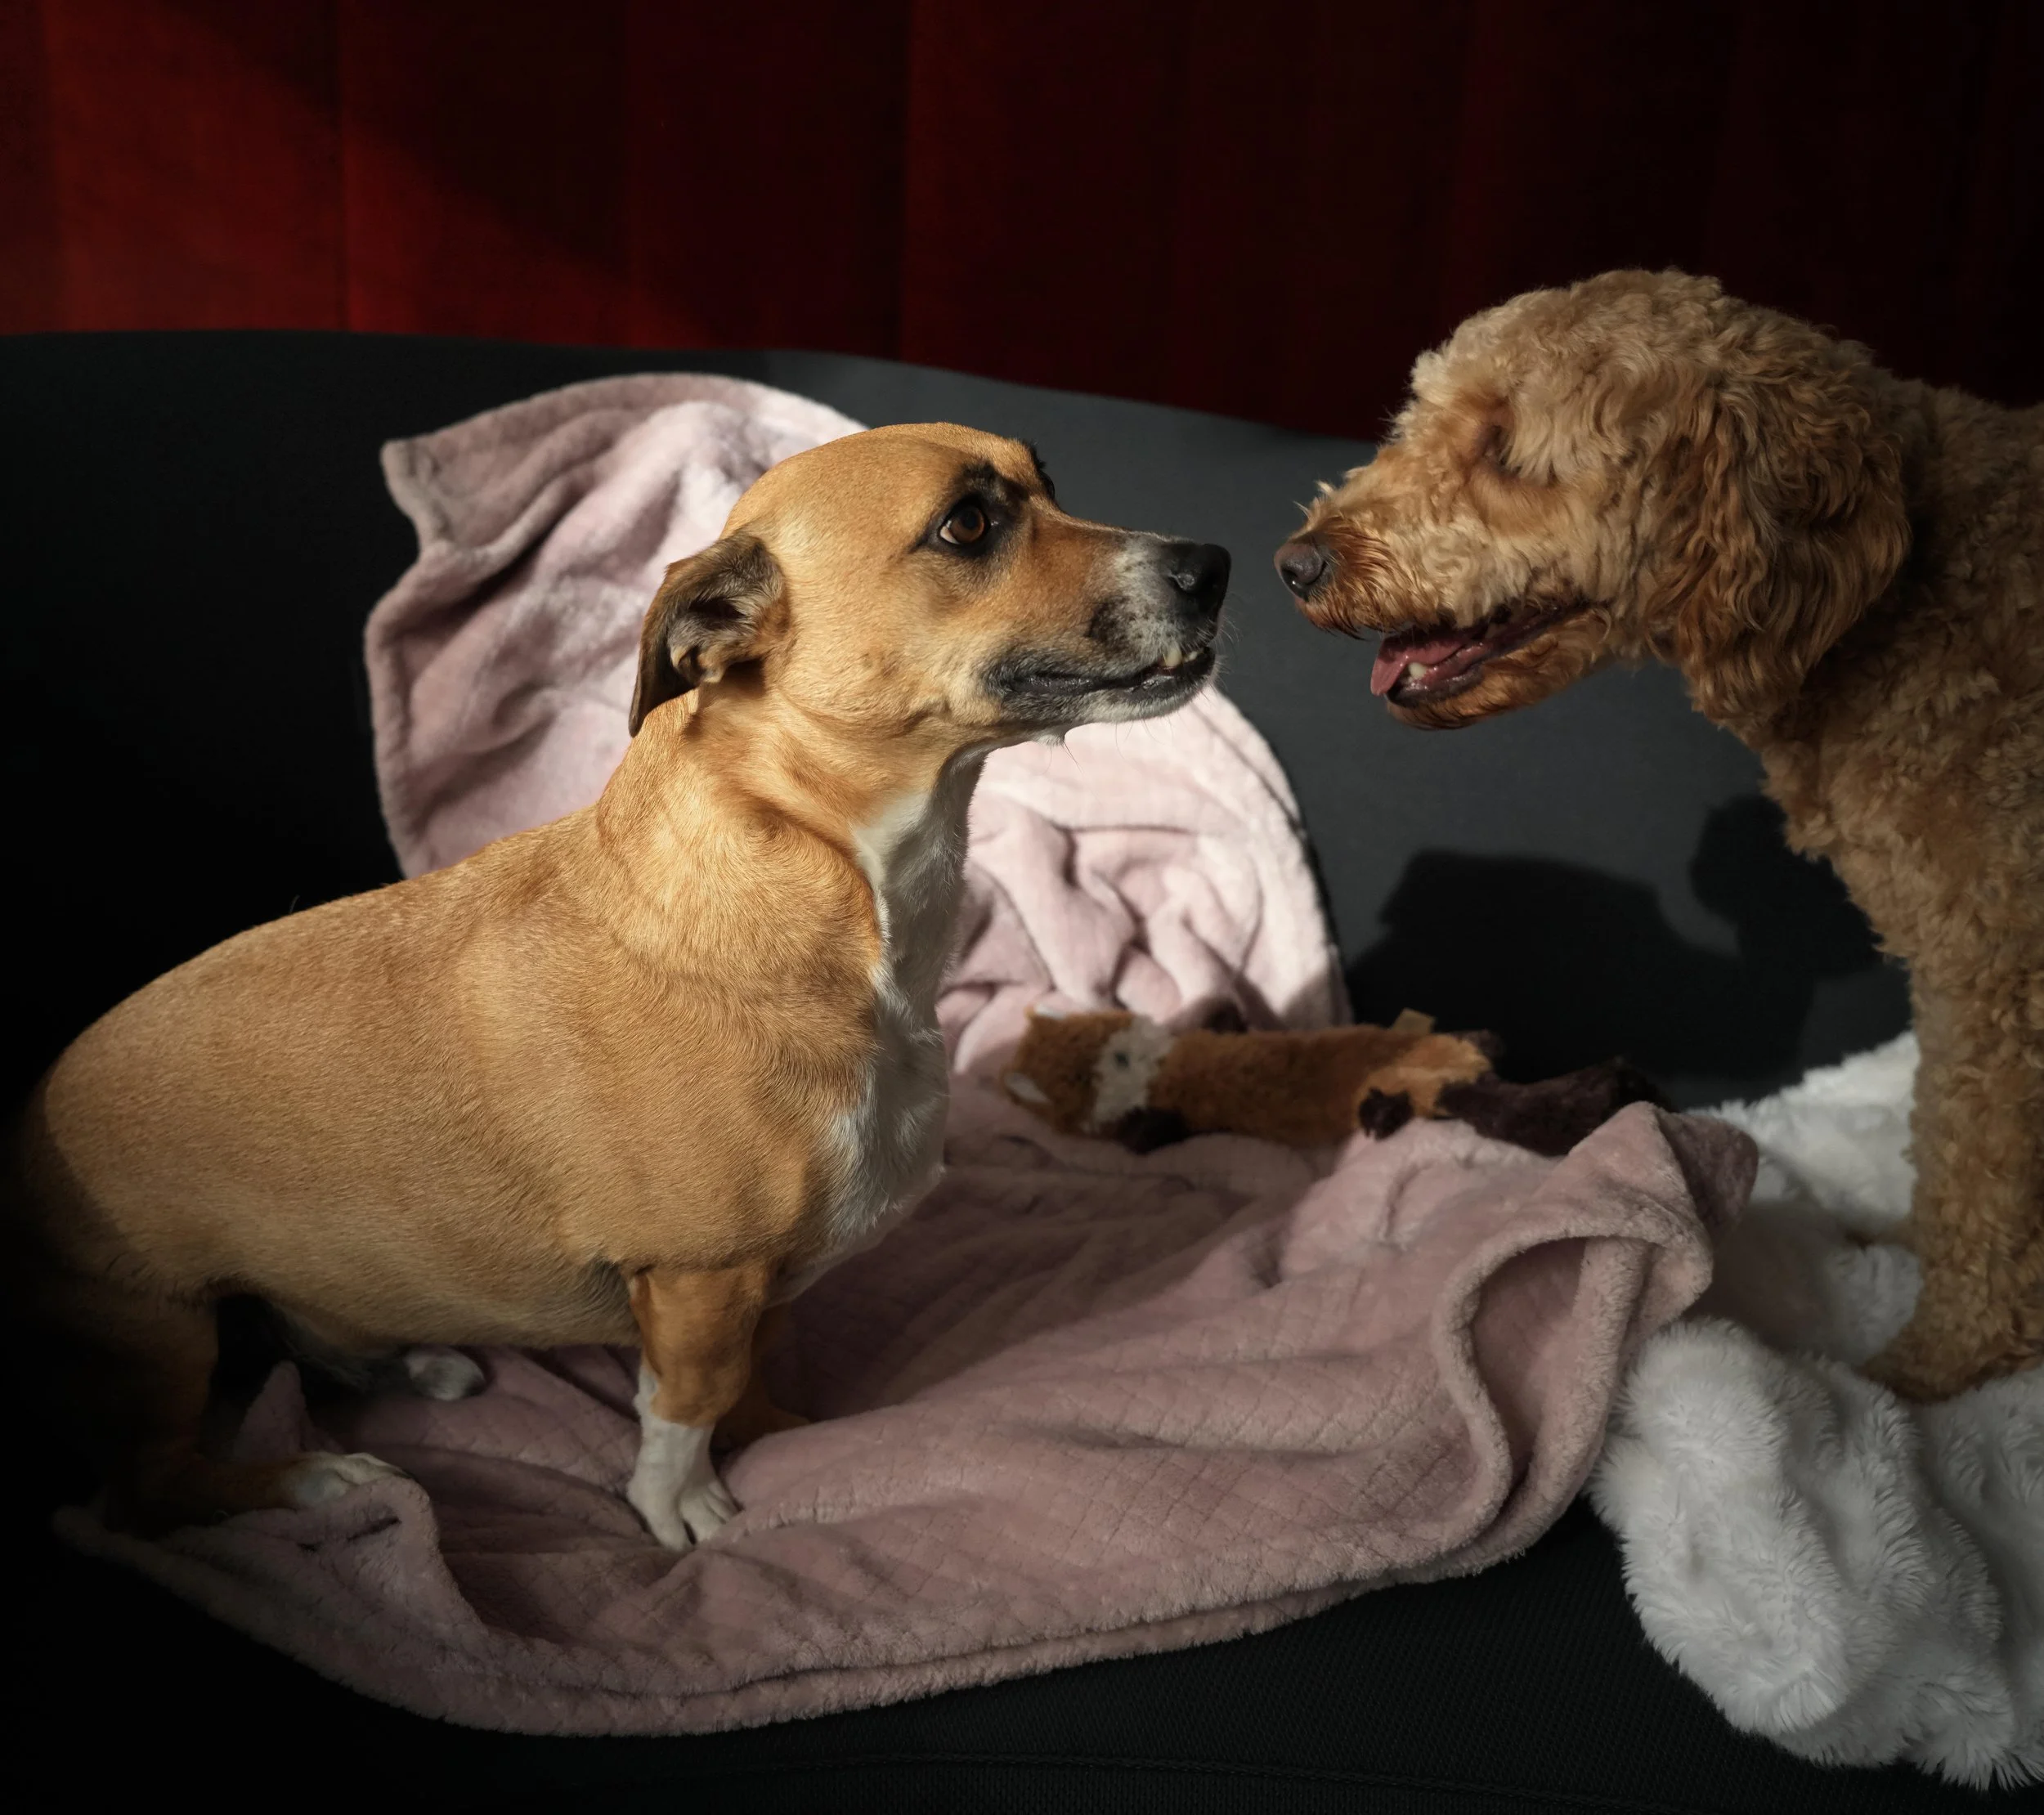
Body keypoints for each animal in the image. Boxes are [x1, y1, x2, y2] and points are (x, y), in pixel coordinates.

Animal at [8, 423, 1230, 1543]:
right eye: (968, 525)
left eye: (1047, 485)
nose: (1213, 562)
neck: (844, 878)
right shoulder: (699, 1276)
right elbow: (685, 1404)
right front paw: (680, 1506)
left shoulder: (757, 1286)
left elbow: (751, 1380)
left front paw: (775, 1438)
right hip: (166, 1333)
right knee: (146, 1494)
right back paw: (317, 1481)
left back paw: (417, 1361)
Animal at [1275, 269, 2042, 1401]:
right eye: (1417, 417)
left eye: (1507, 451)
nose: (1294, 564)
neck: (1892, 607)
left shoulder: (1999, 974)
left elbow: (1980, 1174)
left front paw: (1933, 1369)